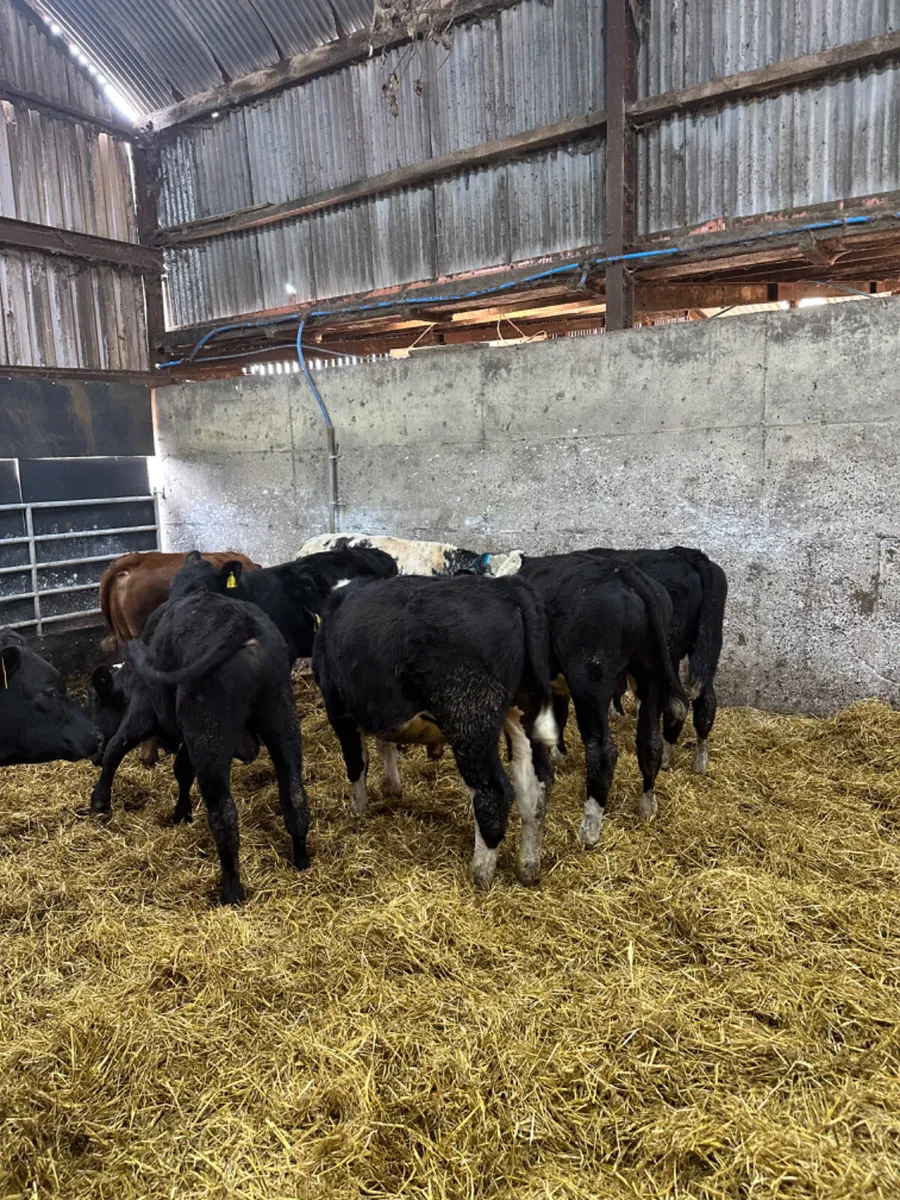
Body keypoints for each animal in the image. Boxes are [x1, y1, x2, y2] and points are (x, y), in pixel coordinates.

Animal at [87, 553, 310, 906]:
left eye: (94, 702)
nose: (89, 752)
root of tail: (243, 628)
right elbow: (181, 769)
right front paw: (181, 812)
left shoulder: (142, 714)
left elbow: (116, 750)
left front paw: (100, 801)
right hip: (281, 723)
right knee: (295, 794)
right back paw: (300, 857)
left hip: (210, 738)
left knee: (224, 814)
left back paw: (231, 891)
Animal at [312, 573, 558, 890]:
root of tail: (507, 587)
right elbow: (385, 745)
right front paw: (391, 786)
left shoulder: (340, 711)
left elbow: (356, 763)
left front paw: (359, 809)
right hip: (524, 714)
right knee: (535, 788)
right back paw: (528, 868)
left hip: (470, 723)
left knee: (494, 792)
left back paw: (480, 874)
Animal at [515, 554, 689, 845]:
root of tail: (623, 572)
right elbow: (558, 717)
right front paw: (559, 755)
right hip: (650, 675)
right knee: (650, 742)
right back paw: (647, 806)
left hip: (590, 680)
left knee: (602, 750)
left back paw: (589, 829)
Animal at [560, 546, 727, 774]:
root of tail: (687, 554)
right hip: (710, 642)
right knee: (706, 702)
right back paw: (700, 761)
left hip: (670, 650)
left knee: (676, 704)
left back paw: (666, 756)